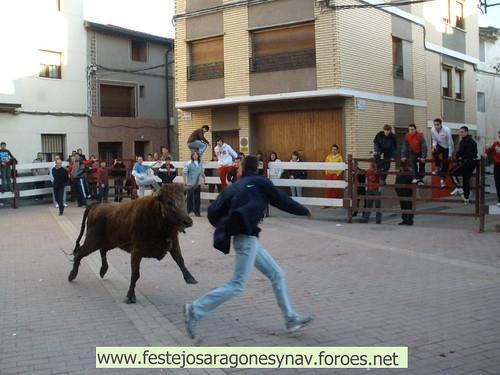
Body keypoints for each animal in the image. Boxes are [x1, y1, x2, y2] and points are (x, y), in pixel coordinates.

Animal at [68, 184, 197, 304]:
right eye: (169, 202)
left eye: (184, 200)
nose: (188, 222)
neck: (155, 216)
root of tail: (97, 205)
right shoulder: (136, 251)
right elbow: (135, 274)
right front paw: (130, 296)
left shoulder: (174, 244)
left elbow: (180, 260)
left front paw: (190, 278)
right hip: (92, 241)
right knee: (80, 253)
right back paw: (72, 275)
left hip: (111, 241)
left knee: (102, 250)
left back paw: (102, 270)